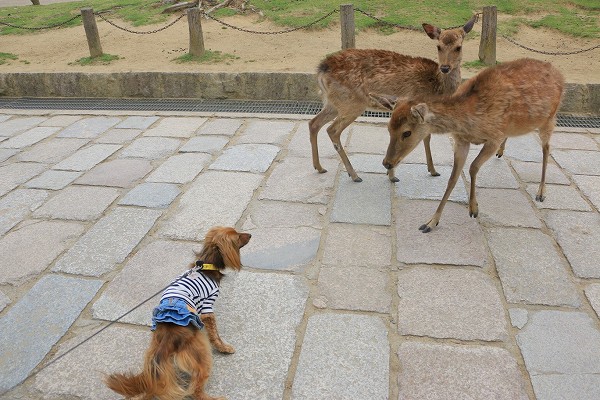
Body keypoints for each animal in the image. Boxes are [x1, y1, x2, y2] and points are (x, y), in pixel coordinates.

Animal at [105, 227, 251, 398]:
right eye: (238, 236)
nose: (250, 235)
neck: (206, 266)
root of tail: (169, 336)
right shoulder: (208, 308)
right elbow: (215, 334)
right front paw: (224, 347)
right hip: (202, 354)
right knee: (196, 391)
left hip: (154, 348)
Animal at [308, 15, 476, 183]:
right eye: (438, 46)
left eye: (458, 47)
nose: (445, 67)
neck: (437, 87)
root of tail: (321, 70)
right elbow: (425, 137)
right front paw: (397, 175)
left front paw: (429, 170)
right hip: (351, 104)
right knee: (332, 130)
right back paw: (354, 175)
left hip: (333, 103)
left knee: (314, 123)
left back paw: (319, 167)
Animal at [372, 56, 564, 231]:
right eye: (388, 127)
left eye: (406, 132)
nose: (386, 163)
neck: (471, 118)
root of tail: (558, 73)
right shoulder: (462, 140)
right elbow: (452, 178)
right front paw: (431, 222)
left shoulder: (494, 136)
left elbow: (473, 167)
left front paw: (473, 209)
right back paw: (502, 152)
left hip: (550, 118)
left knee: (547, 148)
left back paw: (541, 192)